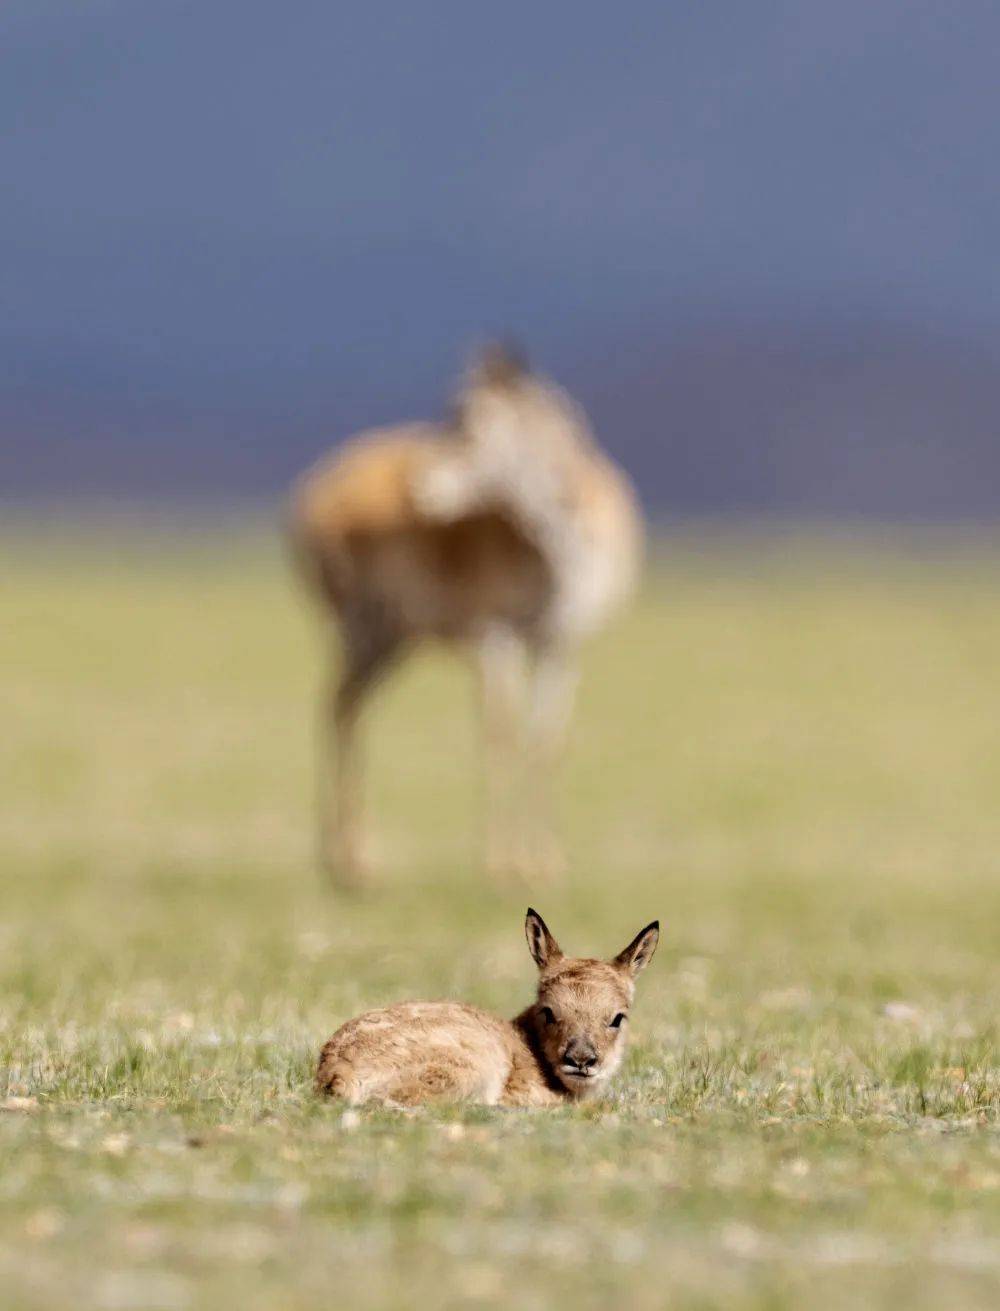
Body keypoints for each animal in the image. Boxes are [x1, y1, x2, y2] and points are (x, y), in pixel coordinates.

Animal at [287, 343, 642, 886]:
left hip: (395, 639)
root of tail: (315, 490)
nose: (418, 486)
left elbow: (546, 741)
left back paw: (347, 858)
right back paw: (353, 860)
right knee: (340, 708)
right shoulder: (495, 637)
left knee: (345, 706)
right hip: (366, 629)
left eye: (467, 426)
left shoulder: (559, 645)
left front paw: (548, 861)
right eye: (451, 415)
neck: (558, 549)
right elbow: (500, 734)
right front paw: (502, 863)